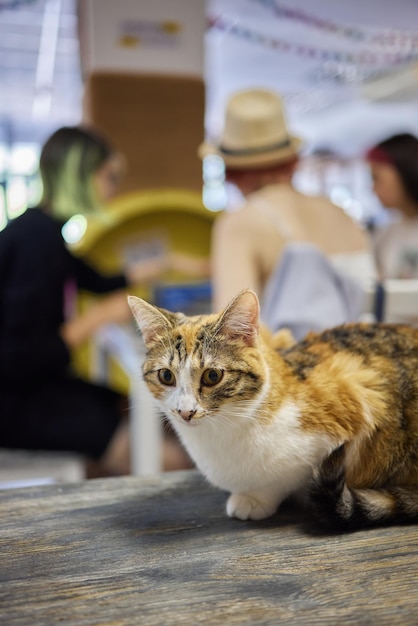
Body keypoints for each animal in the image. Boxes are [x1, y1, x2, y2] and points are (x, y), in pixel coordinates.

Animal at [127, 288, 418, 528]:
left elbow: (286, 477)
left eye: (212, 376)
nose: (185, 412)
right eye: (166, 376)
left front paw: (254, 499)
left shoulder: (359, 394)